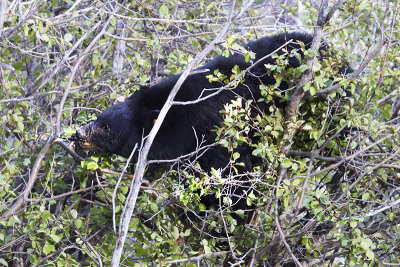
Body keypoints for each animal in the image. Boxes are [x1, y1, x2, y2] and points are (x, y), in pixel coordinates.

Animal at [72, 31, 350, 234]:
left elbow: (232, 179)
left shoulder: (211, 136)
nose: (77, 134)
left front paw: (226, 222)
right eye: (98, 118)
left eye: (105, 126)